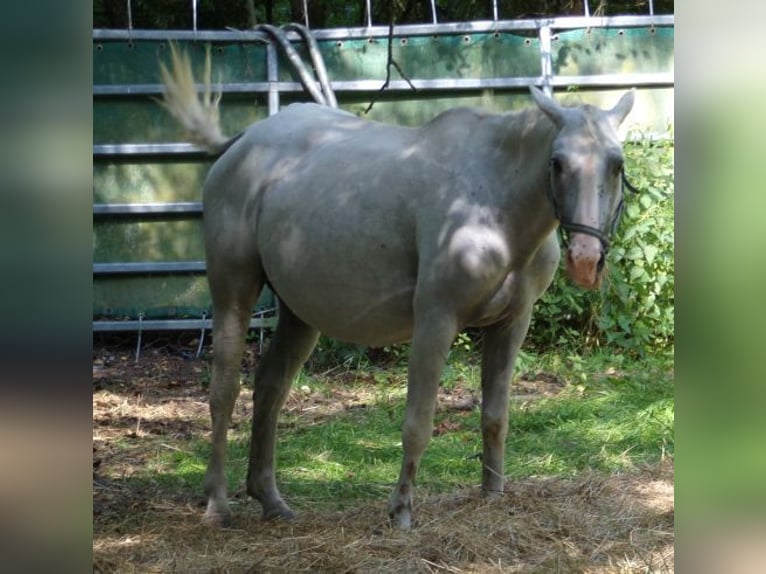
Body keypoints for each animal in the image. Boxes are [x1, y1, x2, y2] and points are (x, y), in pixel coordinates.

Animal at [160, 45, 636, 532]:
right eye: (557, 163)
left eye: (617, 164)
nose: (585, 260)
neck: (493, 203)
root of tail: (242, 142)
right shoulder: (435, 321)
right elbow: (418, 423)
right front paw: (402, 509)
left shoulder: (511, 323)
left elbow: (495, 416)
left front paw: (492, 494)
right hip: (233, 290)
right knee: (224, 391)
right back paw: (217, 504)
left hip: (299, 313)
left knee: (270, 388)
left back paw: (270, 500)